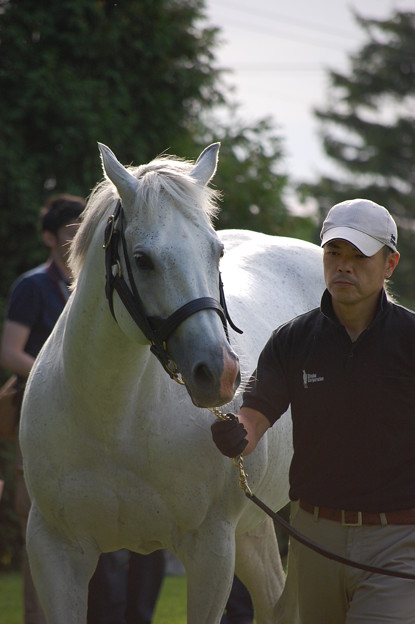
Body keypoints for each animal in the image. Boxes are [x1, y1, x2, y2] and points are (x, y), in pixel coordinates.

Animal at [20, 143, 324, 624]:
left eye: (216, 252)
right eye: (142, 260)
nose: (220, 373)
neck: (113, 422)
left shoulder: (210, 551)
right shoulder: (55, 550)